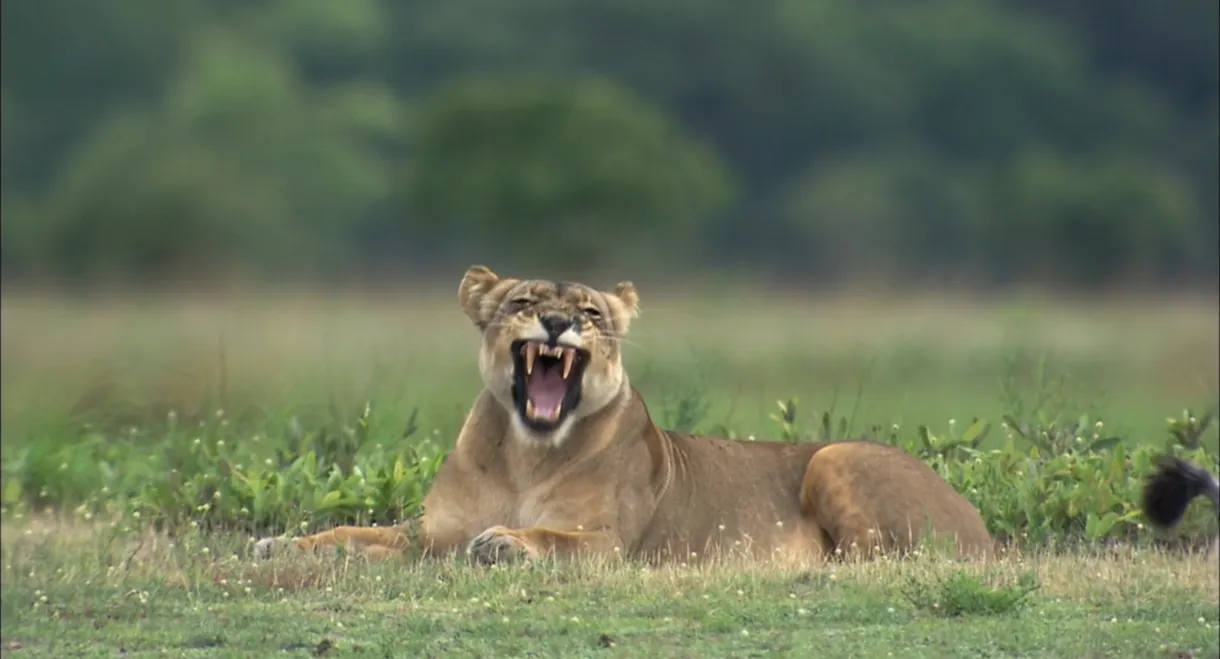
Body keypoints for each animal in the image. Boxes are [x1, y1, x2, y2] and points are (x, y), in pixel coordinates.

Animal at [254, 265, 994, 565]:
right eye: (524, 302)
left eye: (590, 311)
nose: (557, 323)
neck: (525, 454)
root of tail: (983, 524)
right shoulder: (427, 536)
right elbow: (351, 533)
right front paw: (279, 544)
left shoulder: (611, 545)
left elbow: (554, 538)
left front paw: (505, 543)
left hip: (836, 457)